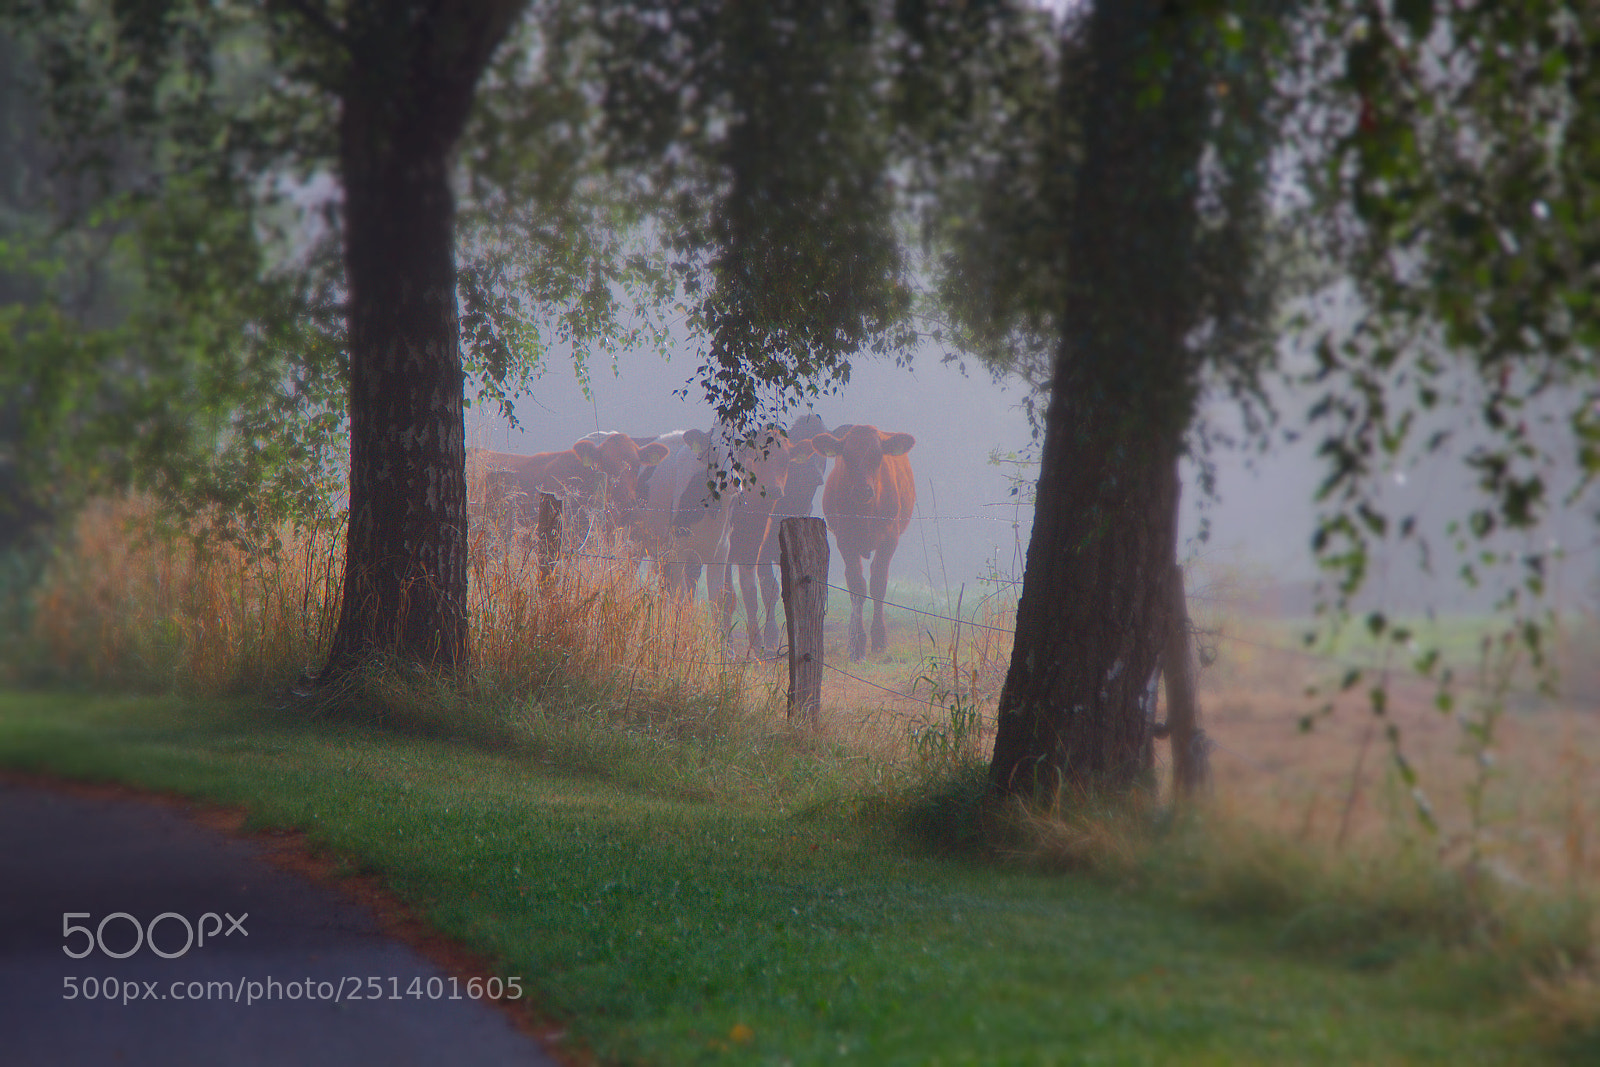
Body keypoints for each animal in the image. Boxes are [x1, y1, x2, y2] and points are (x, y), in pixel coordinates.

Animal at [812, 422, 915, 659]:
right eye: (847, 456)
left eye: (878, 457)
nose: (862, 490)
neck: (865, 511)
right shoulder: (844, 539)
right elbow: (857, 586)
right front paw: (857, 642)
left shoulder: (889, 538)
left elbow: (878, 583)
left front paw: (879, 639)